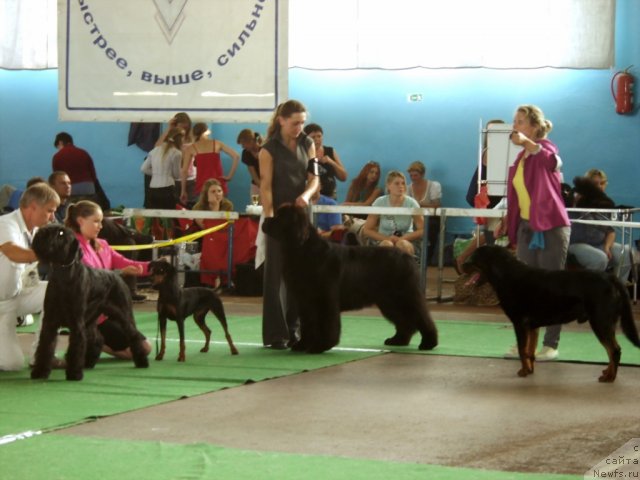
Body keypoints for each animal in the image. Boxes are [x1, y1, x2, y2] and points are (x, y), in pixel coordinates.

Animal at [260, 202, 436, 352]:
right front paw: (302, 345)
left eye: (280, 217)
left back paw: (428, 343)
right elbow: (307, 324)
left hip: (405, 295)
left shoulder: (325, 298)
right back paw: (398, 340)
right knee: (405, 321)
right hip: (389, 301)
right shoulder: (305, 300)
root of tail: (408, 257)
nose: (266, 220)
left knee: (421, 317)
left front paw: (320, 346)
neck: (303, 250)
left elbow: (327, 324)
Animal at [464, 244, 640, 382]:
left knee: (614, 350)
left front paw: (523, 371)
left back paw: (610, 377)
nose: (462, 266)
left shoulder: (520, 323)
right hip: (605, 323)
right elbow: (530, 351)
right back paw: (608, 372)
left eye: (473, 258)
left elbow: (522, 349)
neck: (506, 275)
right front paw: (530, 370)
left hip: (600, 321)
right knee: (612, 350)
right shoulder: (532, 326)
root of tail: (611, 278)